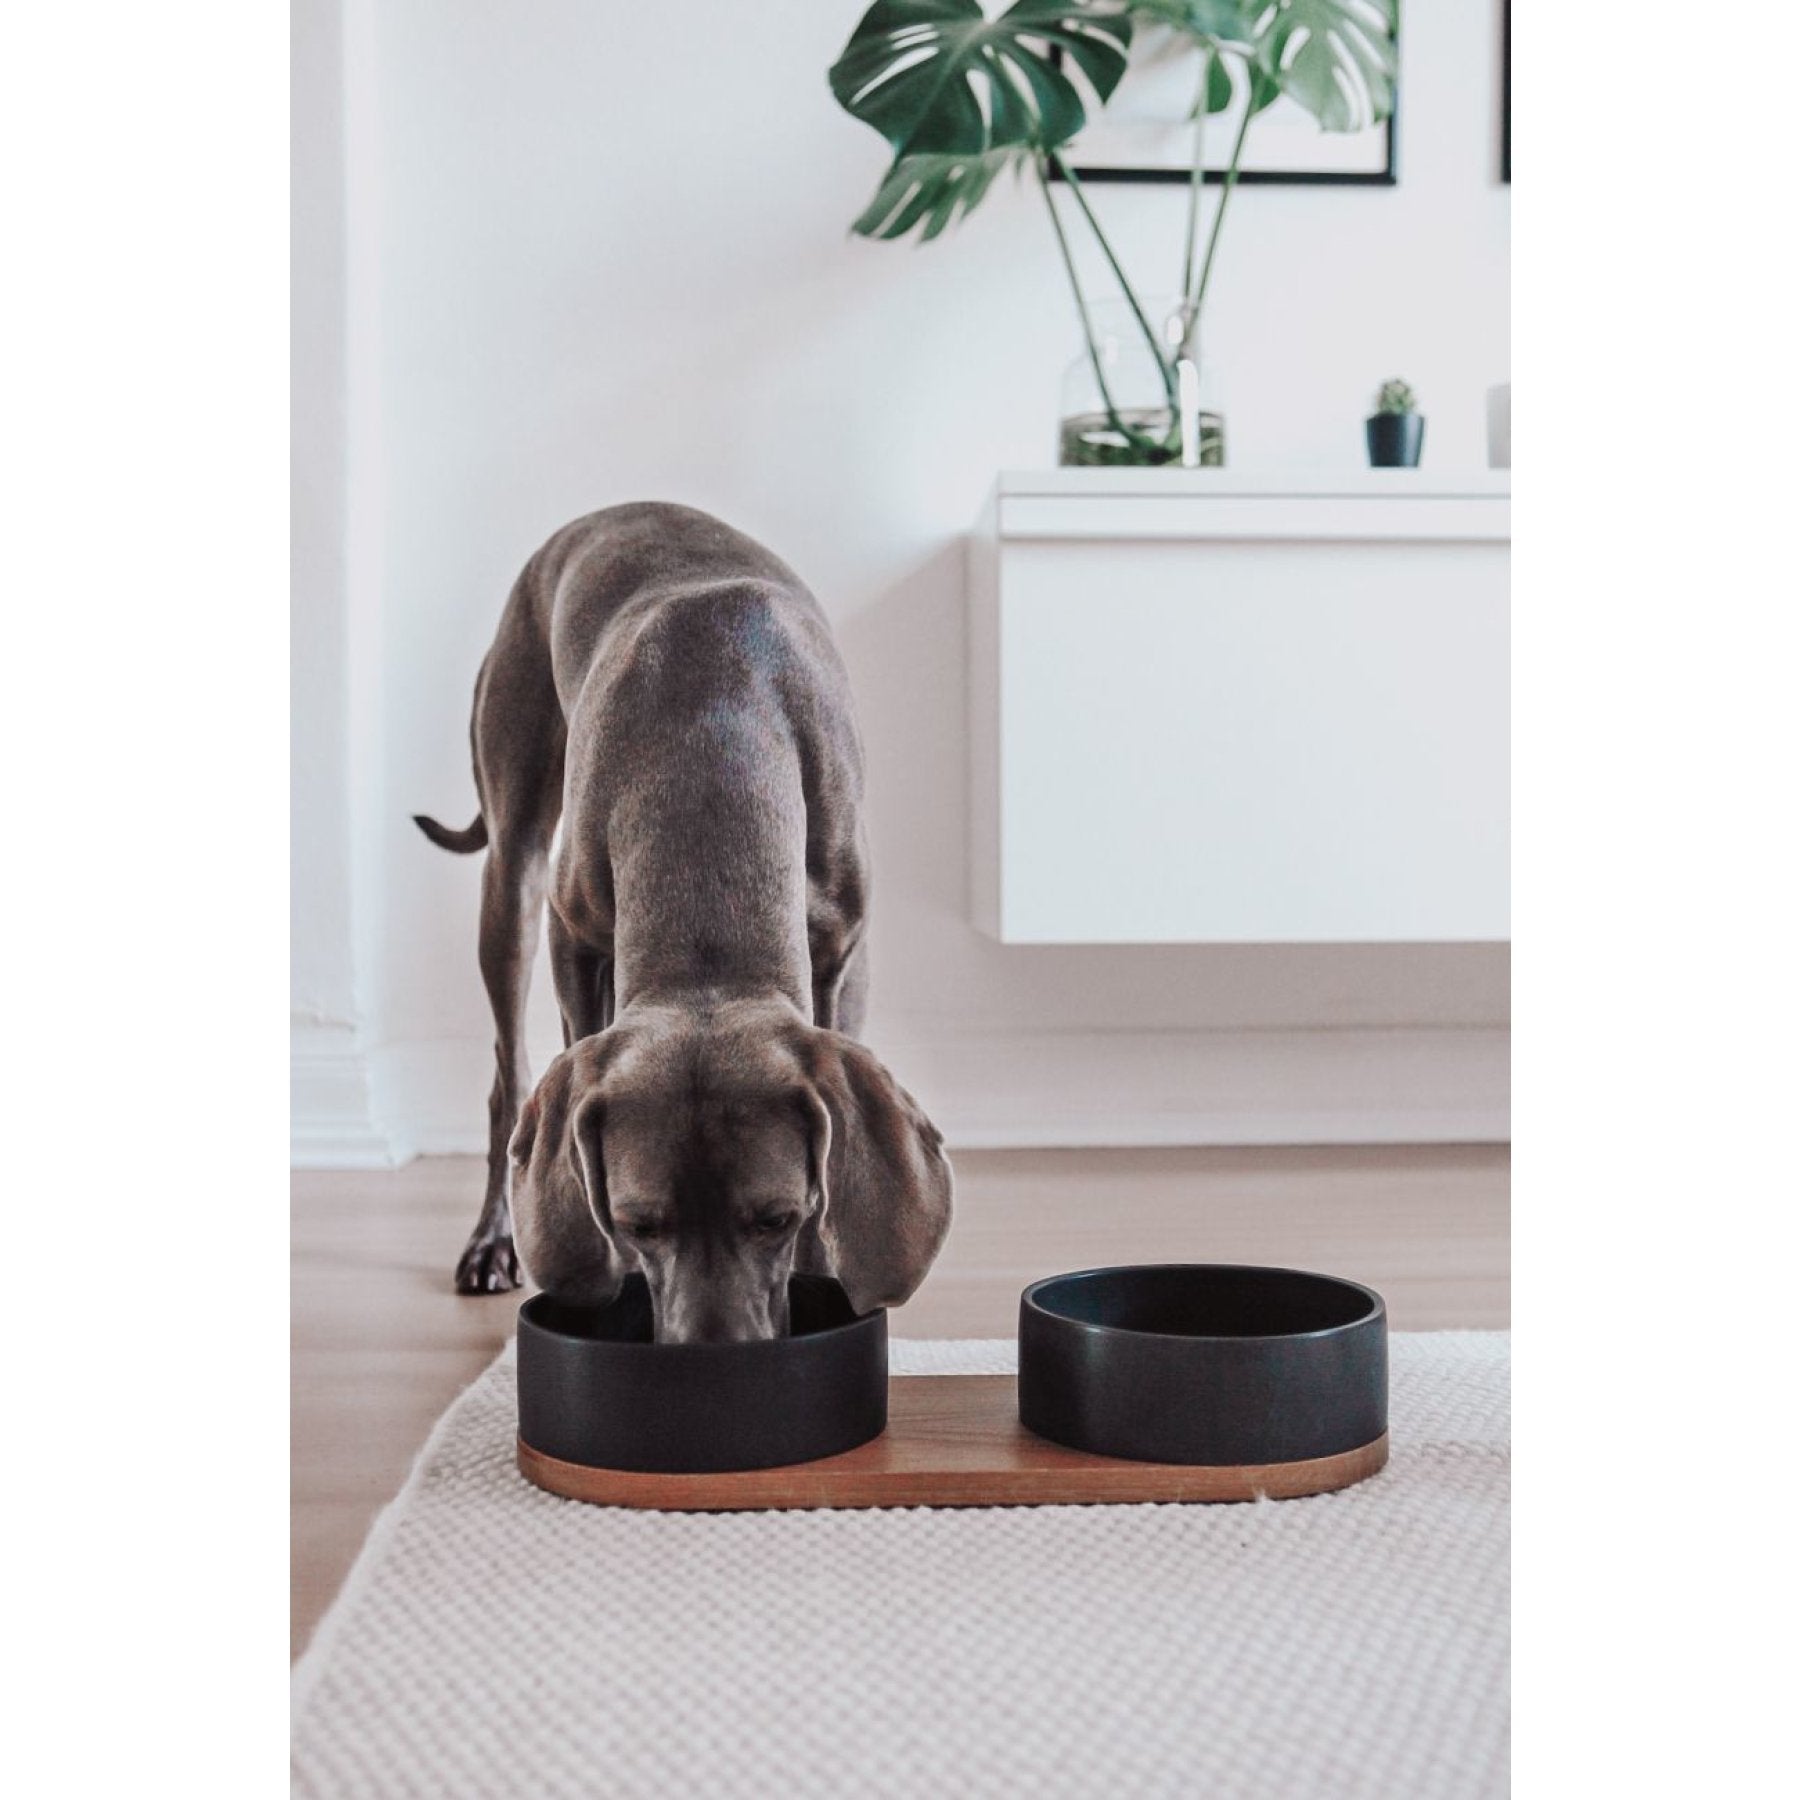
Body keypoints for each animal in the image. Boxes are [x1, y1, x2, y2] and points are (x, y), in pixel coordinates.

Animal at [415, 503, 952, 1339]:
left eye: (776, 1218)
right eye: (639, 1222)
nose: (715, 1355)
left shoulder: (841, 953)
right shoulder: (574, 938)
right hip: (514, 869)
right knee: (509, 1078)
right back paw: (491, 1243)